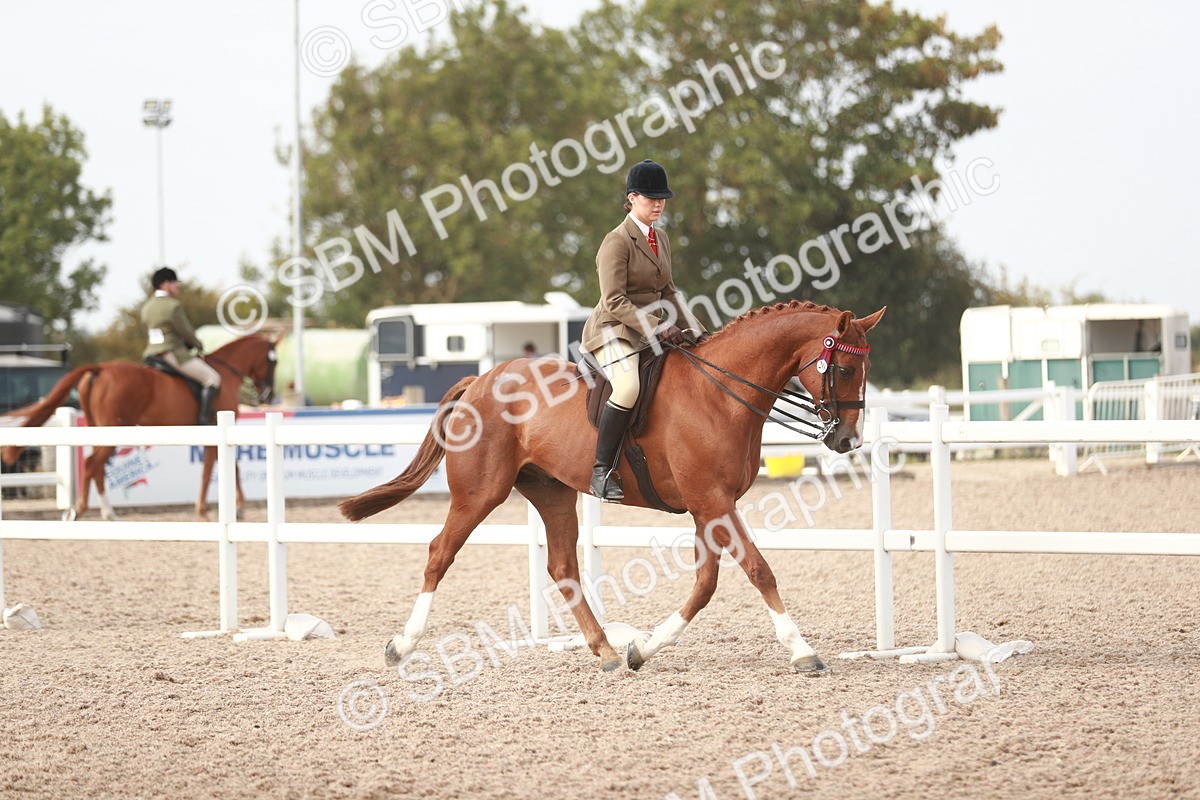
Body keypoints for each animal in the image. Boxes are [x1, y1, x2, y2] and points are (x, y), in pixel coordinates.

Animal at [1, 333, 279, 521]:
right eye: (273, 362)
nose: (267, 395)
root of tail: (101, 368)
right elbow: (213, 469)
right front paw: (206, 511)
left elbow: (232, 466)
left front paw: (238, 508)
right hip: (113, 430)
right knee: (92, 464)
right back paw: (83, 511)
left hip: (99, 429)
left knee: (96, 466)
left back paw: (107, 512)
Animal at [340, 300, 885, 675]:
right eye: (842, 368)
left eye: (866, 369)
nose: (847, 440)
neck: (722, 393)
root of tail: (480, 381)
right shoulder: (712, 502)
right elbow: (758, 570)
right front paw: (803, 651)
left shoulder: (708, 506)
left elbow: (705, 585)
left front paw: (641, 648)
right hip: (480, 493)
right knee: (440, 553)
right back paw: (401, 646)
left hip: (553, 492)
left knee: (563, 567)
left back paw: (604, 650)